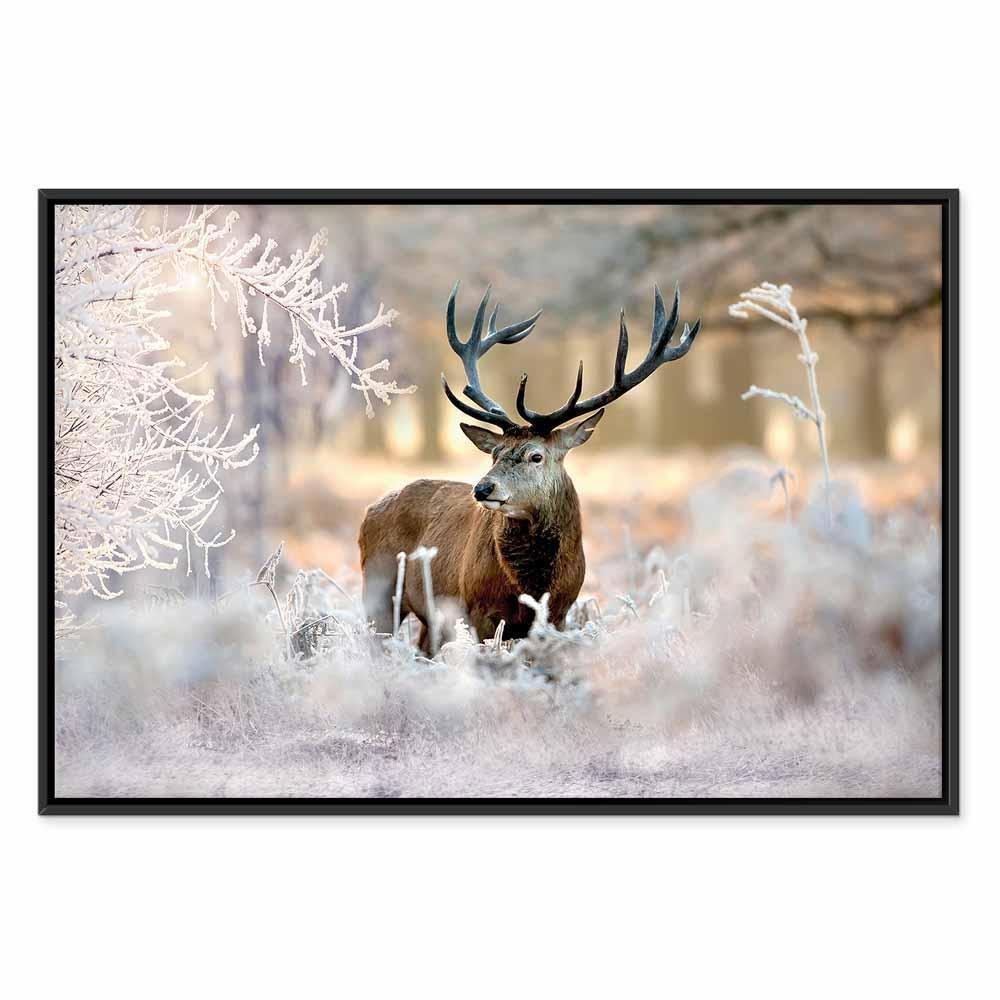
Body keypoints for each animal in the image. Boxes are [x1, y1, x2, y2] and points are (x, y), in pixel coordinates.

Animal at [359, 281, 701, 655]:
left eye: (535, 456)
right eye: (494, 454)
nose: (483, 488)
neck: (532, 586)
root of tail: (370, 511)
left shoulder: (560, 613)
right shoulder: (477, 609)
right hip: (378, 588)